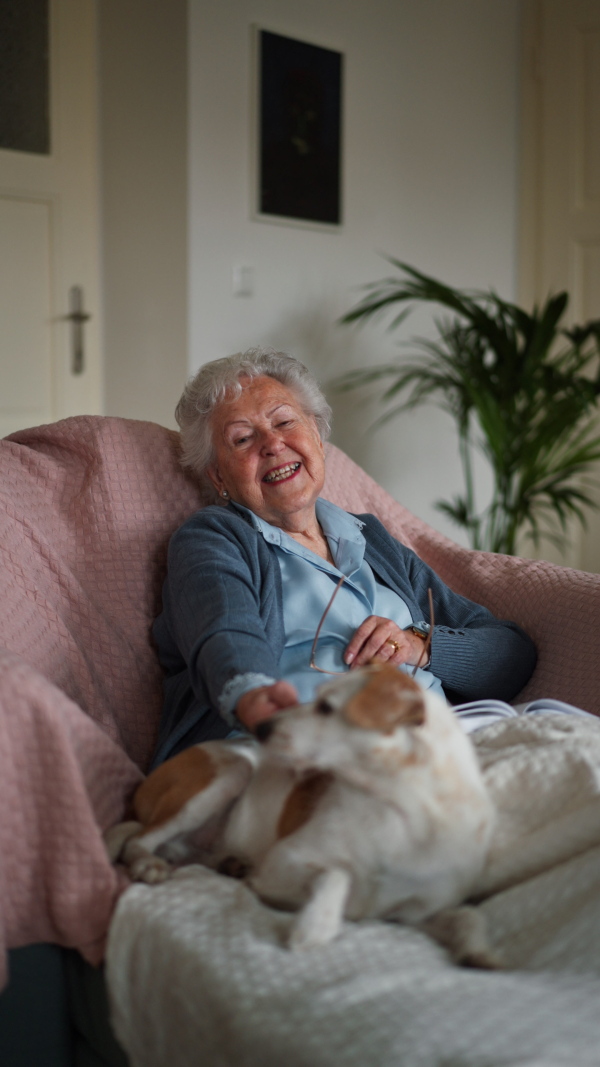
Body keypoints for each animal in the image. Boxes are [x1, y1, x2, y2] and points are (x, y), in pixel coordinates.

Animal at [106, 661, 495, 964]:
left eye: (325, 707)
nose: (261, 728)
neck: (404, 809)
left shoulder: (411, 914)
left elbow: (467, 914)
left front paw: (479, 952)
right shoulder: (283, 862)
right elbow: (337, 872)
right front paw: (315, 926)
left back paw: (230, 863)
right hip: (228, 773)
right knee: (141, 838)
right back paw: (148, 863)